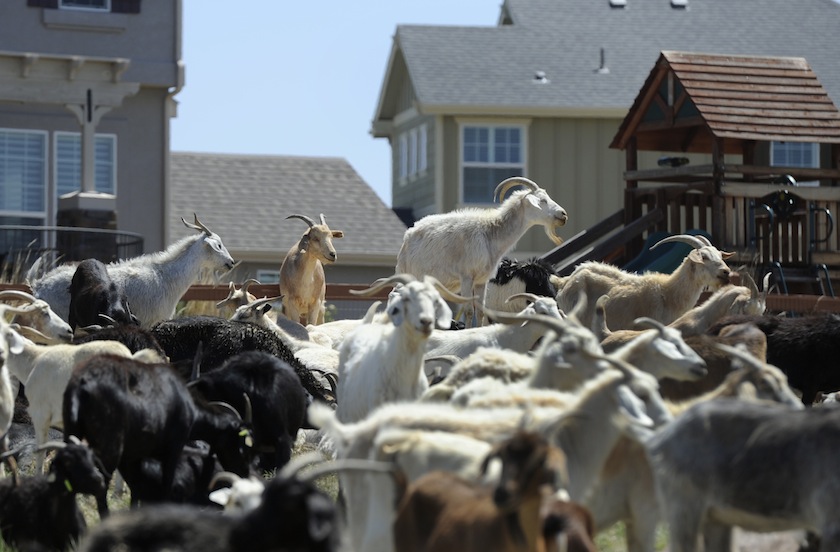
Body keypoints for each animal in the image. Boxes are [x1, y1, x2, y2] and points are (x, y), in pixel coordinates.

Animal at [62, 353, 255, 517]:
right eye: (239, 440)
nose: (244, 471)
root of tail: (81, 387)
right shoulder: (173, 449)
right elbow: (165, 485)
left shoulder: (135, 457)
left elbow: (136, 491)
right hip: (110, 448)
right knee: (101, 485)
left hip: (72, 434)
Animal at [396, 176, 568, 327]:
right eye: (543, 200)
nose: (563, 215)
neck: (490, 233)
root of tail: (407, 236)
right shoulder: (466, 277)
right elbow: (469, 311)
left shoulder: (481, 280)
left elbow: (480, 312)